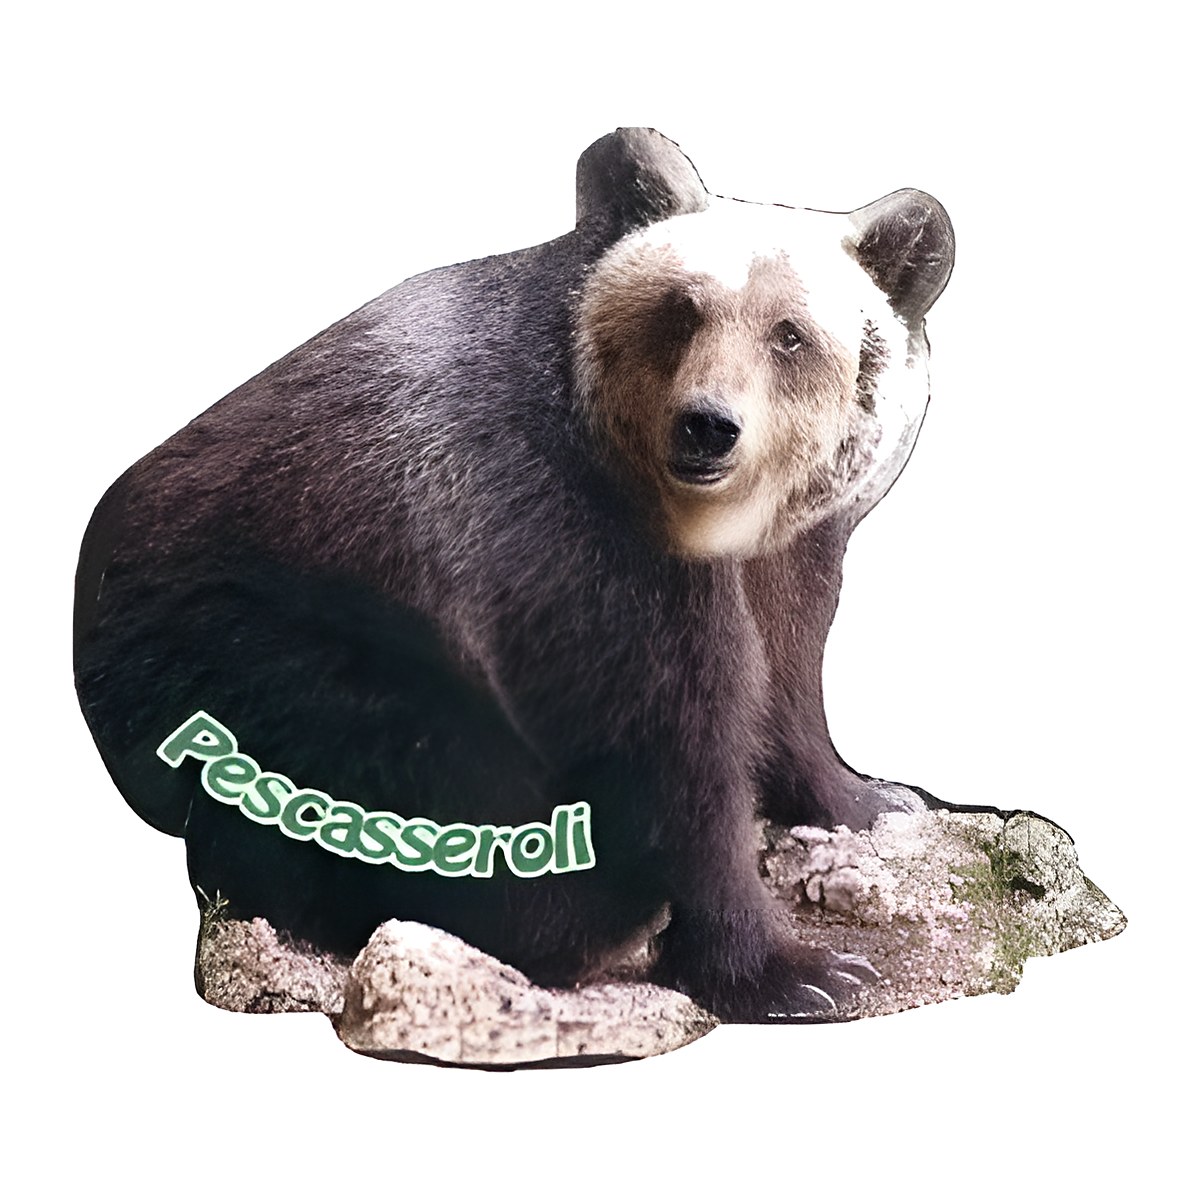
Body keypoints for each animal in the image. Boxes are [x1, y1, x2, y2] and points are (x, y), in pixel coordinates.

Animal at [74, 128, 954, 1024]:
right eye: (681, 308)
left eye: (789, 333)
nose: (708, 426)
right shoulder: (554, 534)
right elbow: (672, 744)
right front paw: (794, 969)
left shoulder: (789, 551)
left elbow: (788, 669)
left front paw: (872, 798)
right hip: (244, 640)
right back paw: (574, 916)